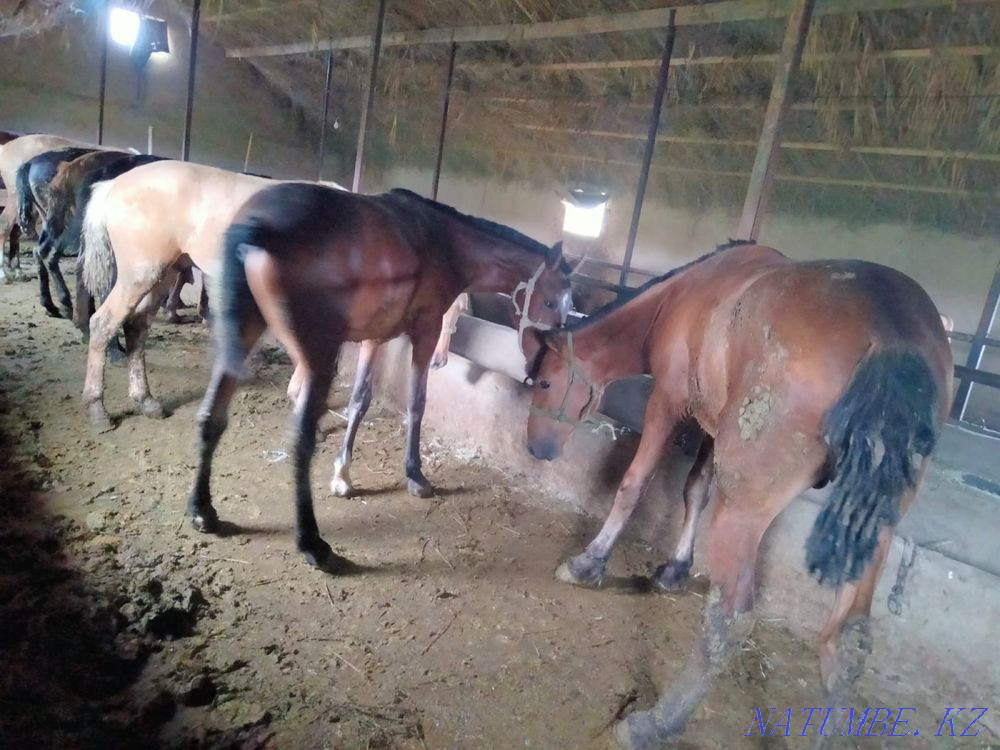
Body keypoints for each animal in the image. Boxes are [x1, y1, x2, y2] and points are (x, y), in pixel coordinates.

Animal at [186, 182, 571, 570]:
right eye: (551, 302)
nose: (547, 364)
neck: (445, 243)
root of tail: (258, 224)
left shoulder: (374, 339)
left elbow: (360, 401)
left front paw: (342, 474)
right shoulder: (425, 331)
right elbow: (416, 403)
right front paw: (415, 475)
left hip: (241, 334)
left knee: (212, 416)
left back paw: (203, 510)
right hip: (317, 354)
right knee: (301, 441)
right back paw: (312, 543)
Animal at [523, 242, 952, 750]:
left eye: (544, 382)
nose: (536, 448)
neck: (682, 298)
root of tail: (890, 335)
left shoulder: (668, 401)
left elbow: (635, 484)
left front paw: (588, 563)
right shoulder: (712, 423)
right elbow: (695, 489)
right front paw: (675, 569)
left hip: (746, 511)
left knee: (730, 617)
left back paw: (656, 722)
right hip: (871, 524)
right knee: (848, 641)